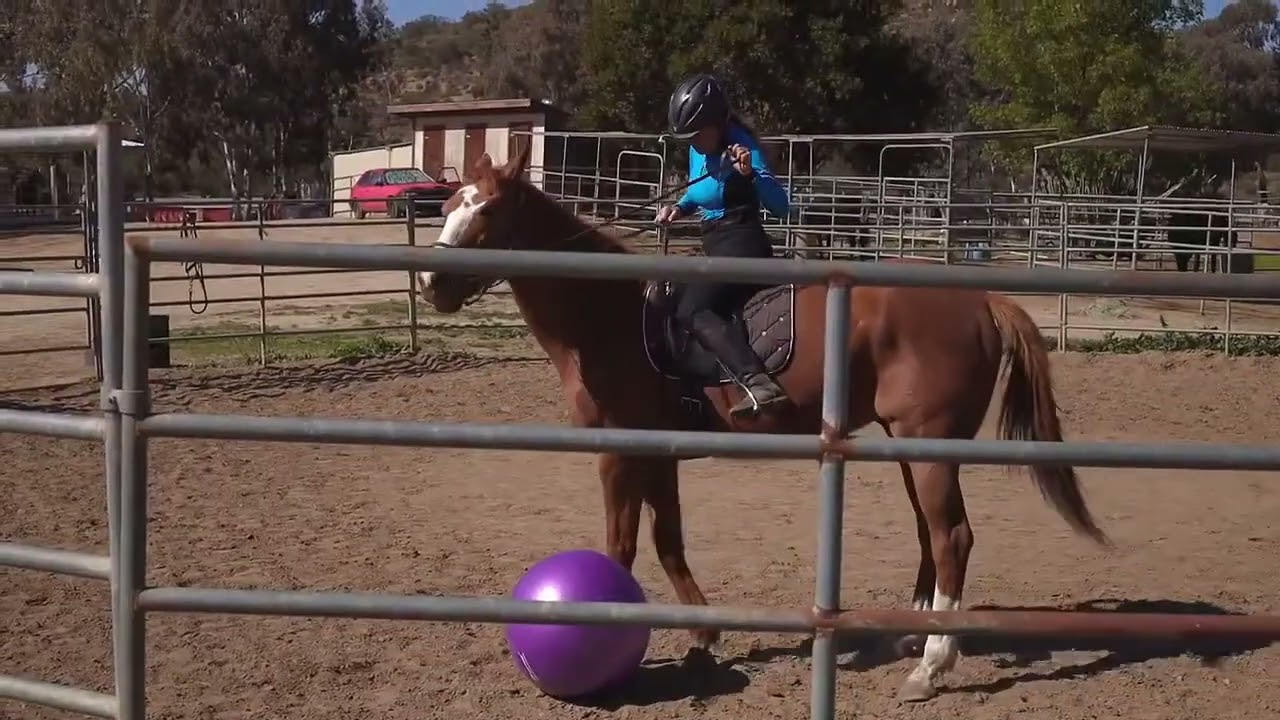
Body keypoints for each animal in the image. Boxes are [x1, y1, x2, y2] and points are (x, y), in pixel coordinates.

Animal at [419, 146, 1111, 702]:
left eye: (486, 212)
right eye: (448, 202)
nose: (431, 282)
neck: (608, 311)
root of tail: (981, 299)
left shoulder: (619, 452)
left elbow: (622, 547)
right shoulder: (658, 454)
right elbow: (669, 542)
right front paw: (704, 638)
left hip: (930, 444)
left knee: (952, 539)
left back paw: (932, 667)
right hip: (909, 445)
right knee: (929, 534)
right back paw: (916, 638)